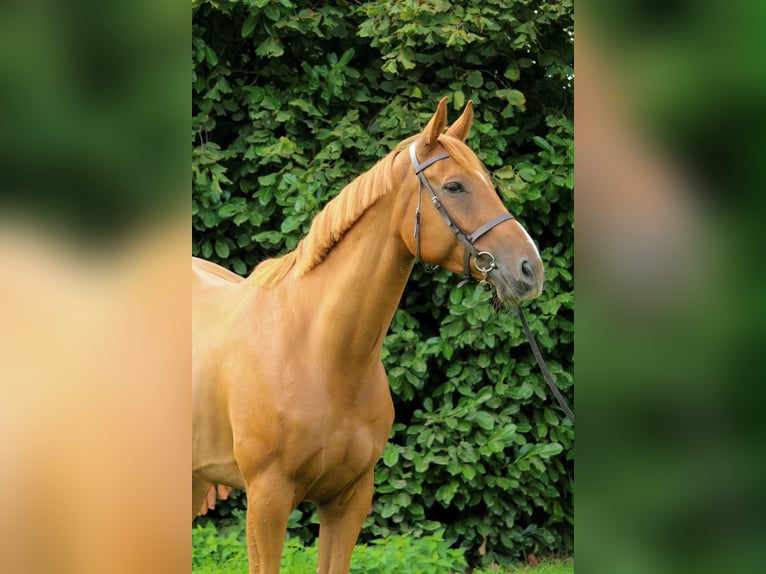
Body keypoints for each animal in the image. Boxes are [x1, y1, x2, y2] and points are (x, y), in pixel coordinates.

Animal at [192, 97, 545, 573]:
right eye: (454, 187)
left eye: (489, 183)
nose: (530, 269)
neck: (319, 354)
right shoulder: (267, 500)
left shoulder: (349, 500)